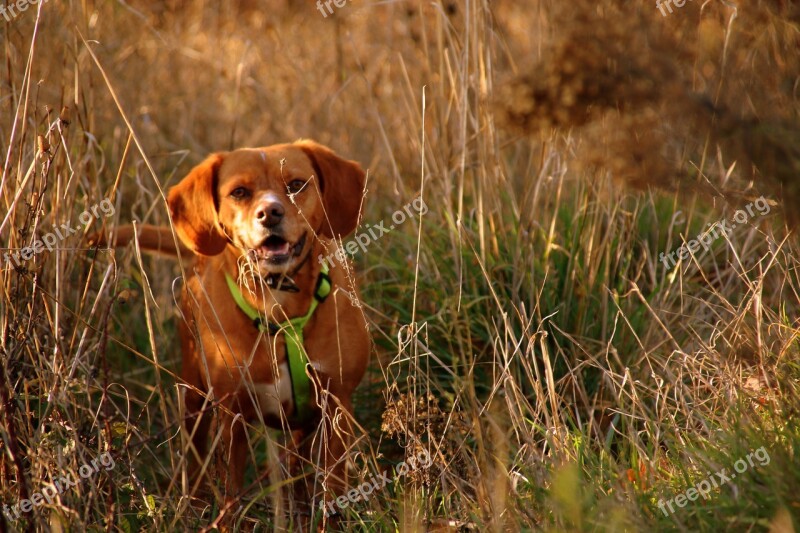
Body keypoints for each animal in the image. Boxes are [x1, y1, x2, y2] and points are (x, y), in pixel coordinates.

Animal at [95, 139, 370, 516]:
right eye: (239, 192)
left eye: (296, 184)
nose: (270, 213)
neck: (280, 312)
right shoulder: (232, 417)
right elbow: (230, 498)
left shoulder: (336, 407)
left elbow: (334, 489)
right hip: (193, 396)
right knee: (196, 455)